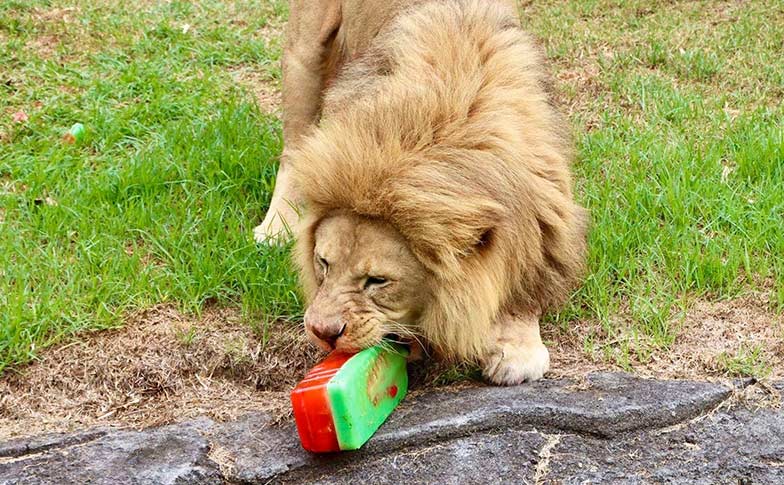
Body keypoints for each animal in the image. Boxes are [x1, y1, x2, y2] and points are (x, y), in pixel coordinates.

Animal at [258, 0, 588, 384]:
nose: (320, 331)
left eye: (378, 280)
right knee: (293, 148)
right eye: (323, 263)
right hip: (306, 49)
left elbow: (522, 278)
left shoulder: (542, 210)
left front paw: (516, 348)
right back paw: (276, 226)